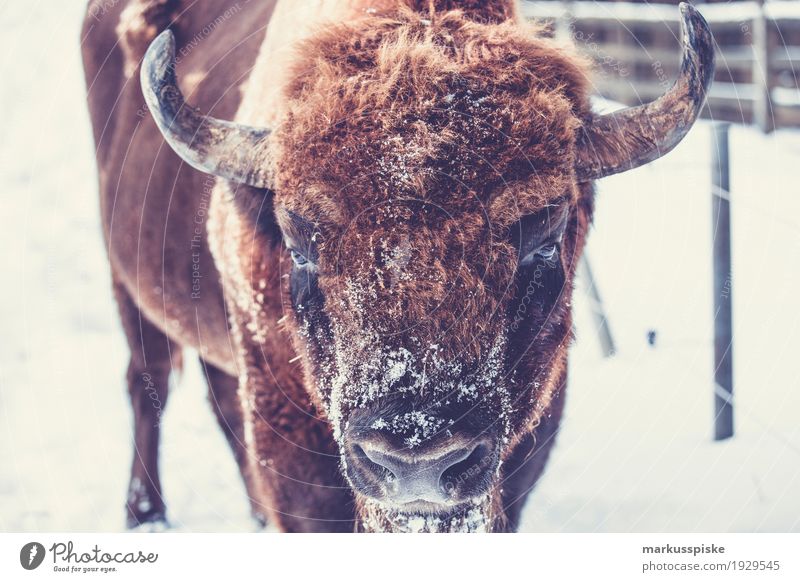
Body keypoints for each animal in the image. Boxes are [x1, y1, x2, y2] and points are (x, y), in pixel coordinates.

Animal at [83, 0, 712, 532]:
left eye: (545, 232)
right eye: (299, 240)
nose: (416, 463)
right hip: (126, 286)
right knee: (147, 382)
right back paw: (145, 515)